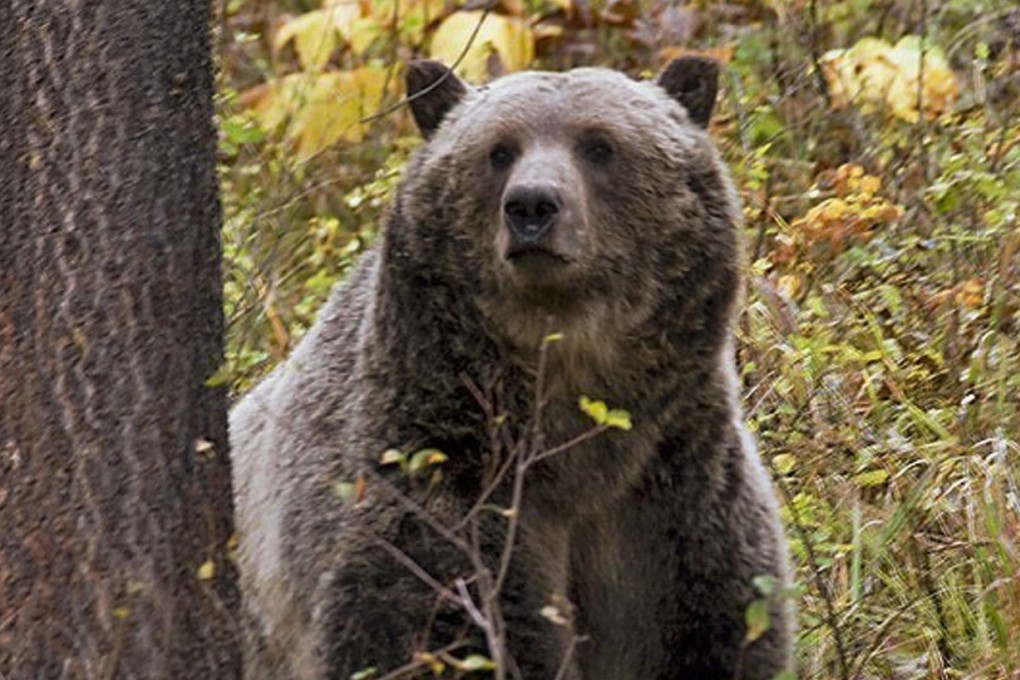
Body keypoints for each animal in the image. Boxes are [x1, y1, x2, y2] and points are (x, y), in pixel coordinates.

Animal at [230, 57, 794, 680]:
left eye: (599, 145)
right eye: (499, 150)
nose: (531, 205)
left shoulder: (675, 505)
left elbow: (713, 633)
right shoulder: (438, 478)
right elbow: (429, 622)